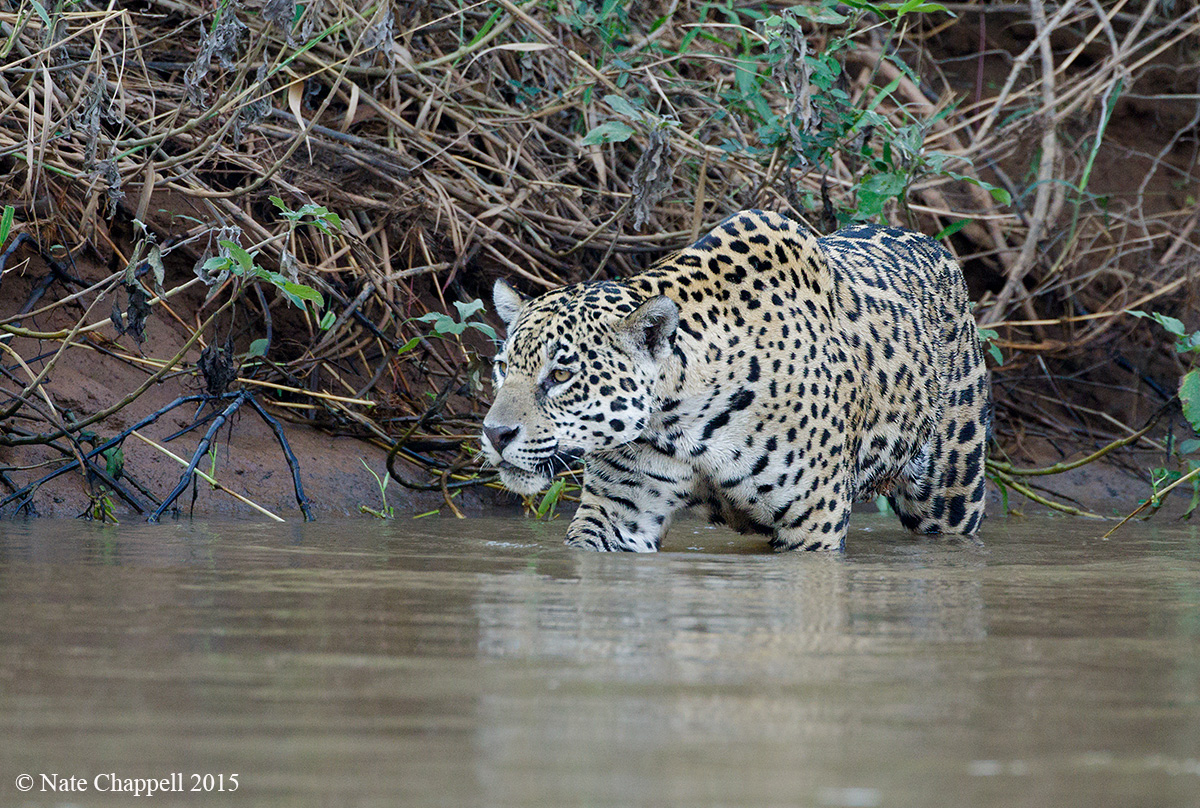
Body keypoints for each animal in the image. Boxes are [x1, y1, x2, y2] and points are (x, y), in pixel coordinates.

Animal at [481, 209, 991, 552]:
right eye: (504, 367)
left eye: (560, 374)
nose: (495, 433)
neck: (681, 421)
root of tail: (928, 240)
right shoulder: (618, 512)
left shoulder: (815, 525)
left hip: (950, 494)